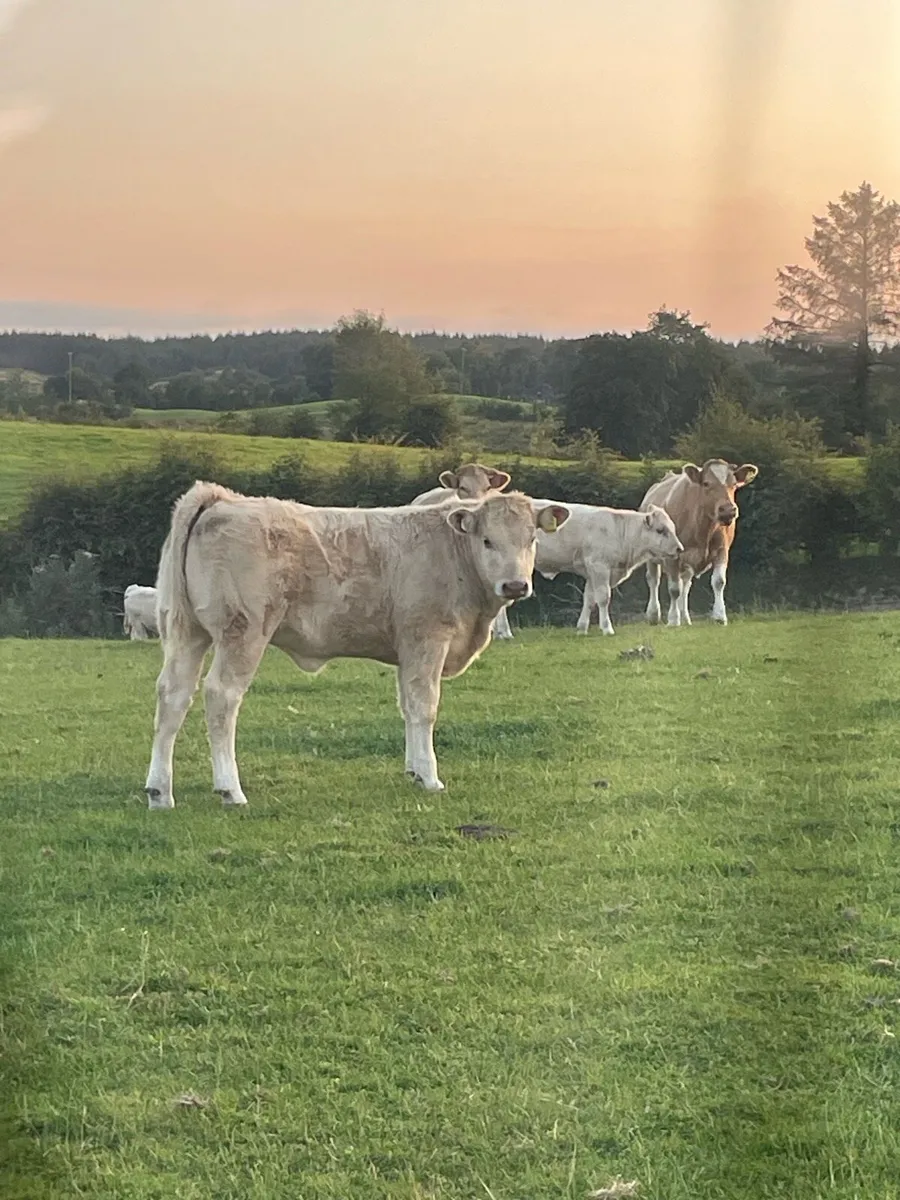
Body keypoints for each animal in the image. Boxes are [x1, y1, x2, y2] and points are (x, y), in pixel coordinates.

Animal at [144, 481, 569, 809]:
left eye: (532, 539)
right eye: (487, 540)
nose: (515, 585)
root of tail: (222, 498)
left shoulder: (407, 650)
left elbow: (406, 706)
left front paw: (414, 770)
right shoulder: (427, 639)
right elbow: (424, 707)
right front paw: (430, 777)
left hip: (187, 632)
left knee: (173, 697)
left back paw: (160, 791)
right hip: (243, 632)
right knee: (221, 697)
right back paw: (230, 790)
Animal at [530, 502, 683, 634]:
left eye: (674, 528)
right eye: (660, 530)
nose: (679, 548)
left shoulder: (592, 572)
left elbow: (589, 599)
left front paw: (582, 628)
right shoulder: (599, 567)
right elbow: (603, 598)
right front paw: (607, 628)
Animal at [640, 459, 759, 627]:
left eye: (734, 484)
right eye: (706, 483)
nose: (728, 510)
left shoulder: (722, 550)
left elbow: (718, 581)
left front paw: (720, 617)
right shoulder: (672, 556)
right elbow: (674, 589)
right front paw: (673, 620)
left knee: (685, 584)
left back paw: (685, 617)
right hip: (652, 556)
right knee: (653, 580)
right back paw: (653, 615)